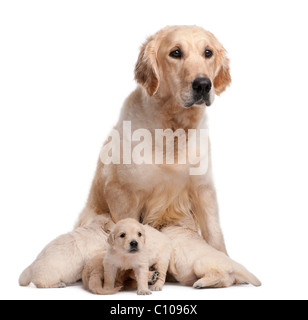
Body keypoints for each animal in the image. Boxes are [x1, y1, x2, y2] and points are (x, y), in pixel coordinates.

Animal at [76, 25, 231, 258]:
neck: (173, 130)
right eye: (175, 53)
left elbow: (214, 233)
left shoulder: (202, 188)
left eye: (208, 52)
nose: (203, 84)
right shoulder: (124, 194)